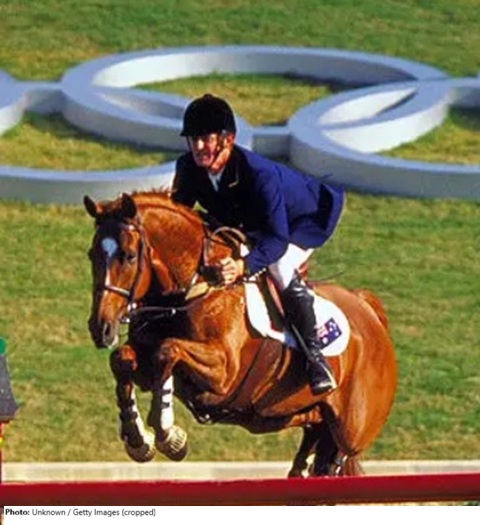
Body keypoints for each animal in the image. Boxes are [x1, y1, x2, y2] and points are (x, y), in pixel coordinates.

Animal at [84, 190, 397, 477]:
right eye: (92, 255)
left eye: (128, 256)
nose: (101, 328)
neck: (194, 287)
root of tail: (368, 310)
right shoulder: (148, 365)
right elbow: (123, 359)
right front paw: (138, 440)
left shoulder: (224, 373)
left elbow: (168, 350)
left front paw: (170, 436)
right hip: (307, 419)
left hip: (349, 434)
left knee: (335, 461)